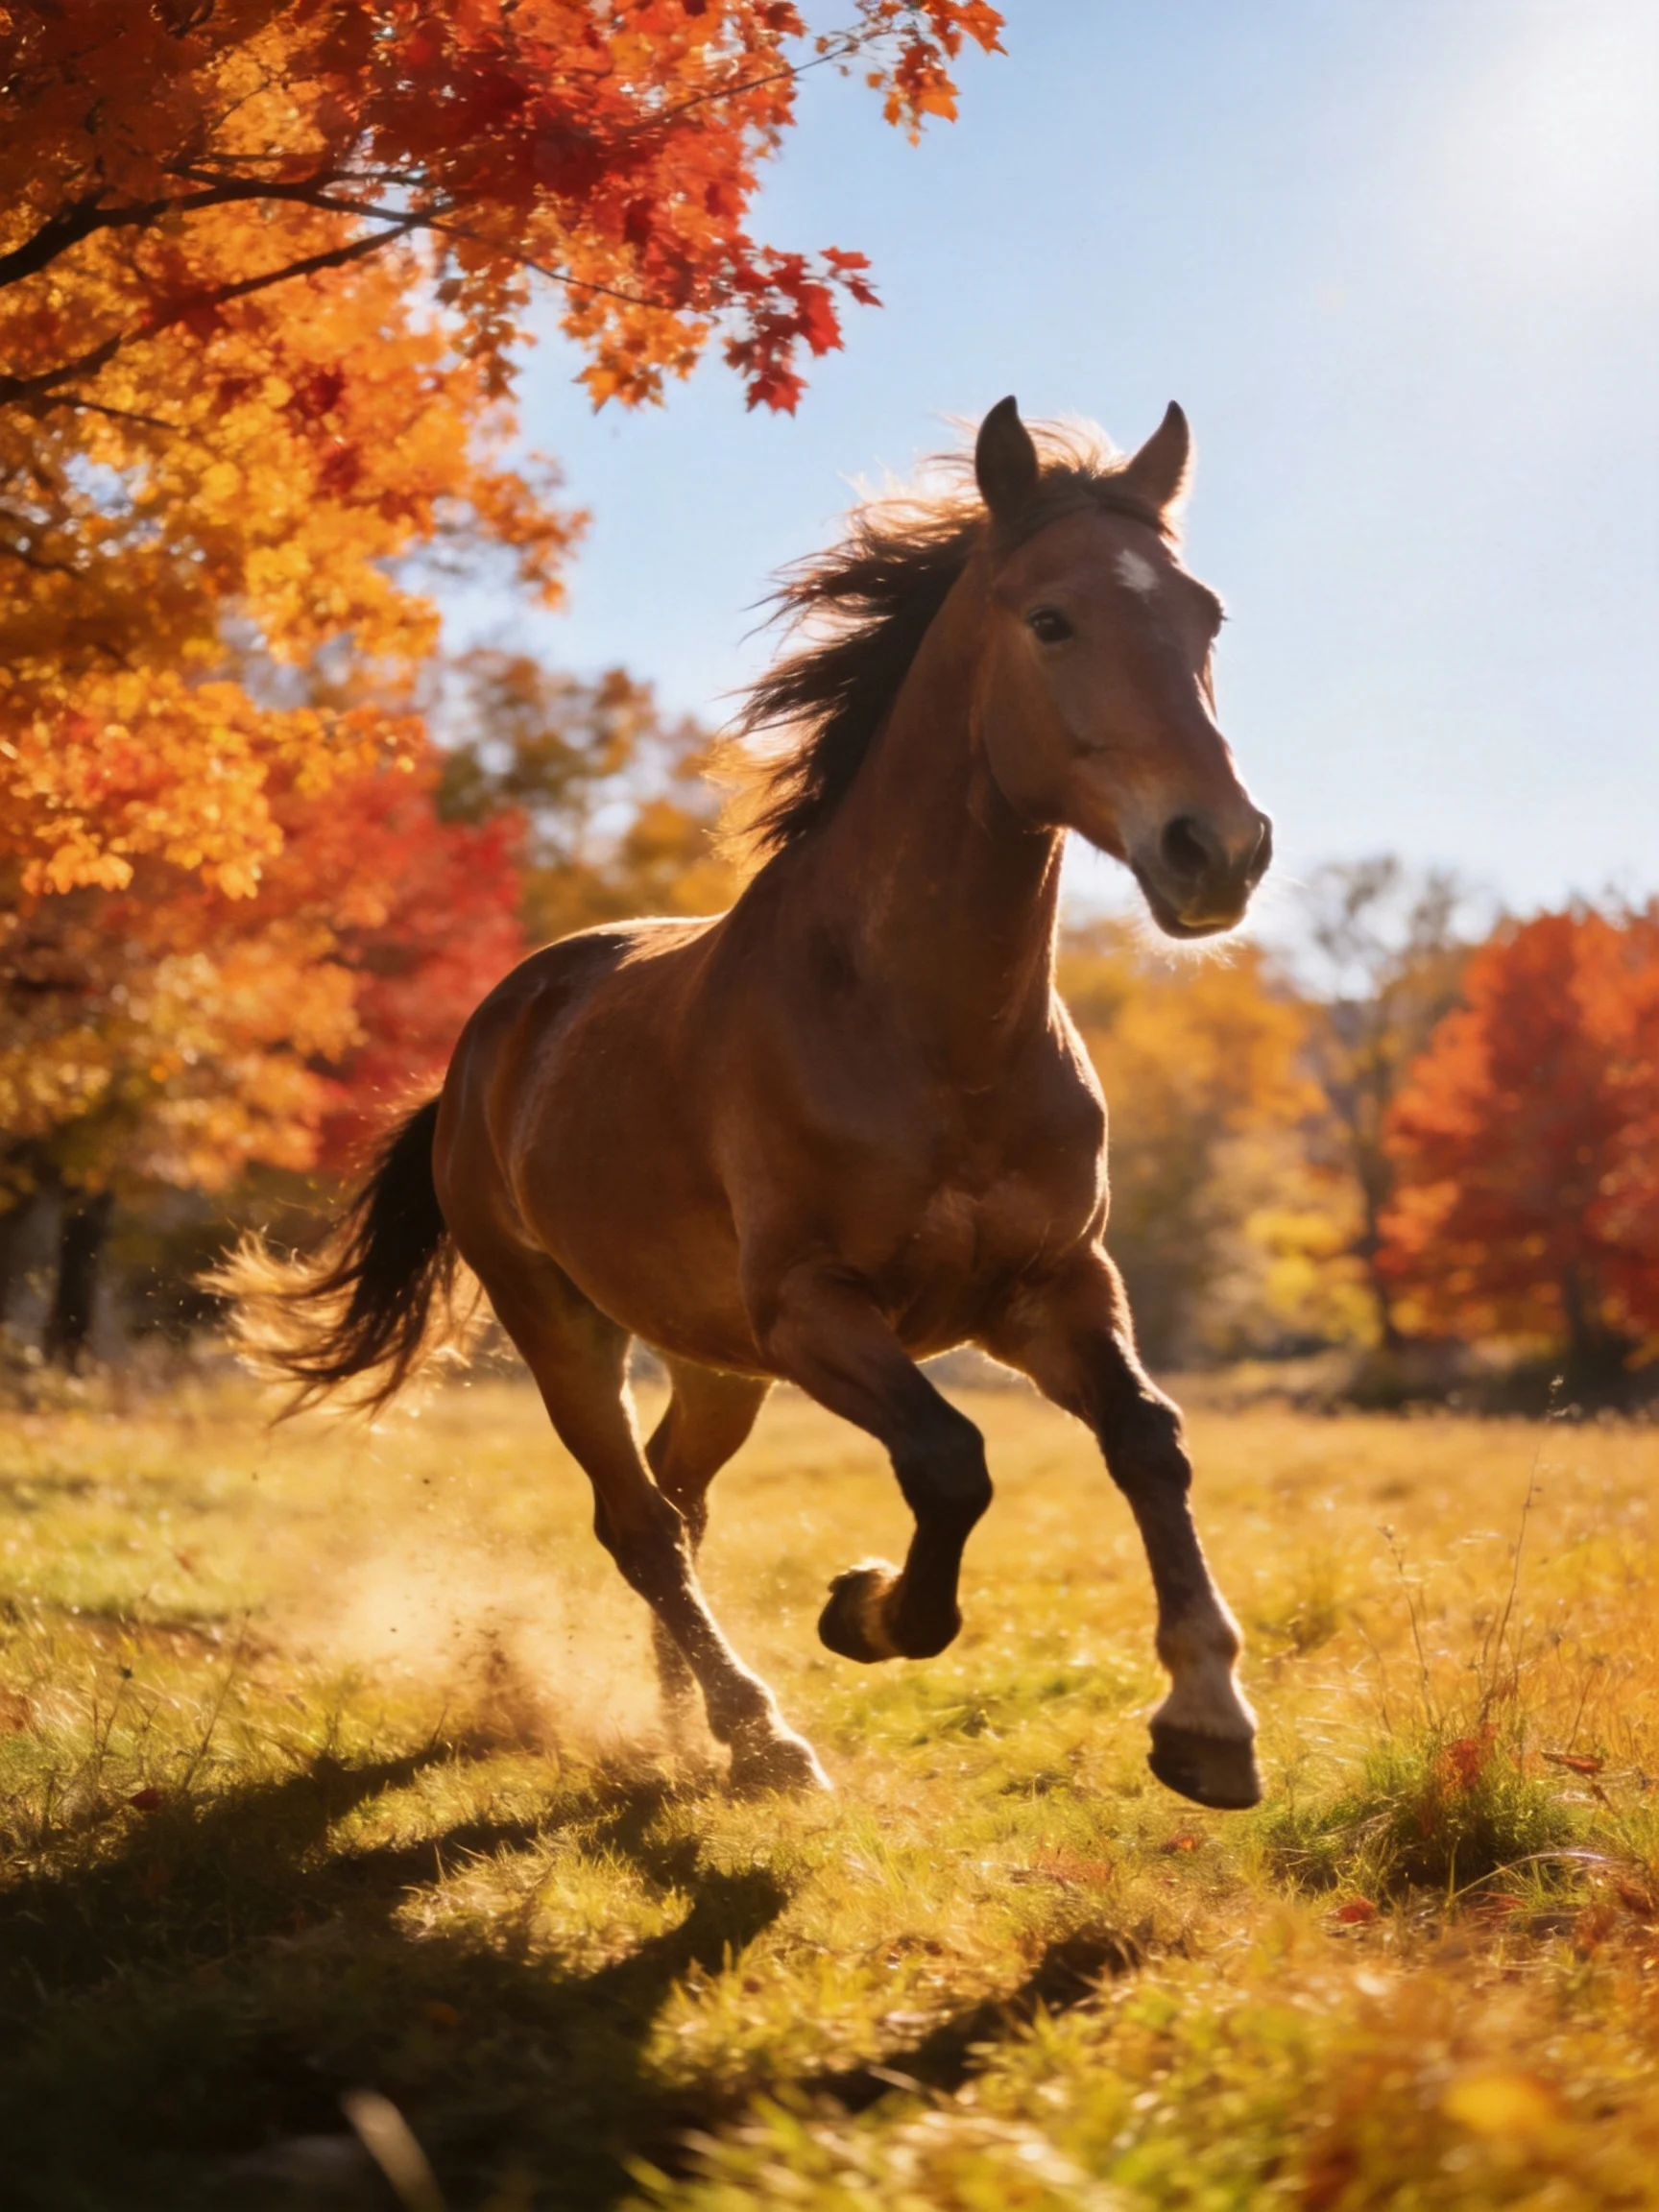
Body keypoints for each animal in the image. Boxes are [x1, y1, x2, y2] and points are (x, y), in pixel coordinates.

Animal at [232, 397, 1274, 1809]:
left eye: (1206, 617)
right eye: (1051, 619)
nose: (1218, 850)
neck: (929, 1035)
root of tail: (491, 1035)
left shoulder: (1051, 1287)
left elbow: (1150, 1442)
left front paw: (1210, 1723)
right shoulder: (813, 1308)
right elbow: (950, 1463)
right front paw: (868, 1611)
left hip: (713, 1358)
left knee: (678, 1503)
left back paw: (696, 1728)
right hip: (566, 1324)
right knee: (637, 1522)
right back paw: (761, 1733)